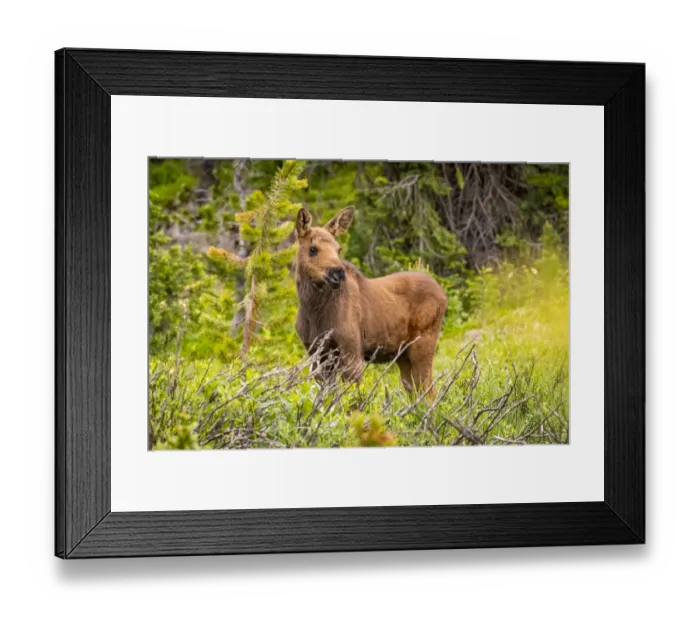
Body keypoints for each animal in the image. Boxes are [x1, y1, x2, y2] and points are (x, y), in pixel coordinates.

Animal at [294, 206, 448, 395]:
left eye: (338, 249)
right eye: (313, 249)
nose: (338, 273)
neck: (313, 310)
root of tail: (443, 294)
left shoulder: (351, 350)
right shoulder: (316, 353)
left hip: (423, 343)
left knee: (429, 391)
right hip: (402, 354)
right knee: (414, 389)